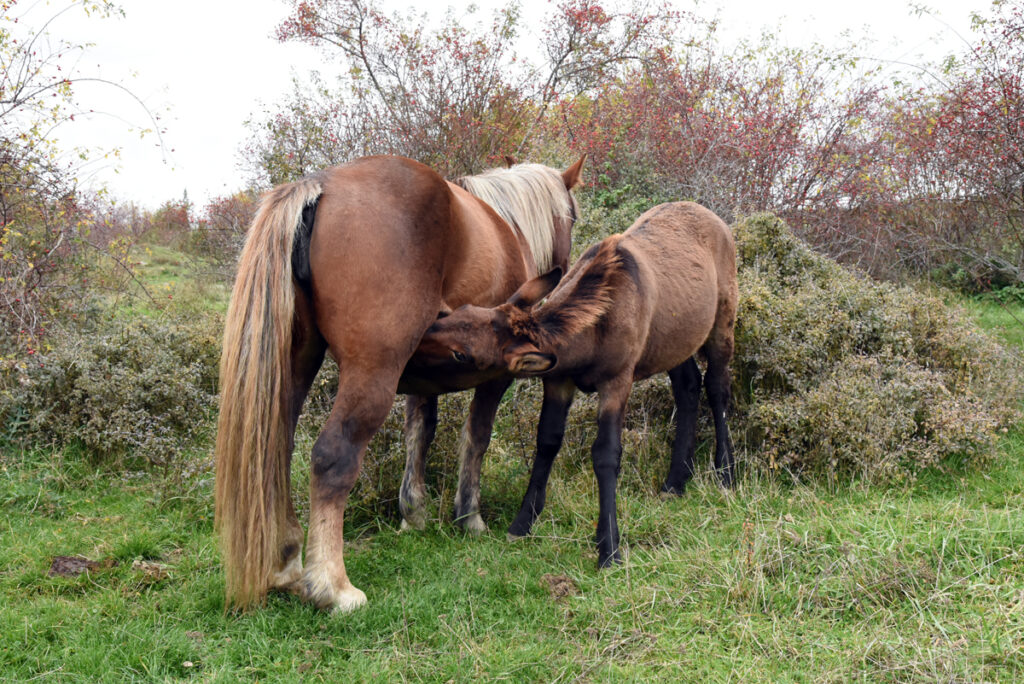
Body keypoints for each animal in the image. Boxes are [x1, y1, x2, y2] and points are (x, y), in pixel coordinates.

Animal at [214, 153, 585, 610]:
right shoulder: (495, 377)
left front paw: (413, 515)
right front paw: (470, 517)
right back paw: (332, 586)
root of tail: (320, 185)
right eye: (572, 216)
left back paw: (287, 565)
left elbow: (419, 433)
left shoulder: (424, 378)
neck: (509, 225)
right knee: (332, 456)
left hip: (296, 364)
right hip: (374, 374)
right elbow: (476, 437)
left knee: (278, 450)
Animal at [411, 201, 741, 565]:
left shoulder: (617, 380)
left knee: (717, 387)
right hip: (674, 340)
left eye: (462, 355)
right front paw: (523, 522)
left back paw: (725, 473)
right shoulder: (558, 380)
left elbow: (606, 453)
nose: (422, 329)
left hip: (723, 320)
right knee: (688, 387)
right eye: (464, 309)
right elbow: (547, 442)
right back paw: (675, 482)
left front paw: (609, 546)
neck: (588, 341)